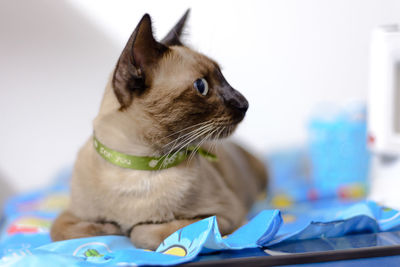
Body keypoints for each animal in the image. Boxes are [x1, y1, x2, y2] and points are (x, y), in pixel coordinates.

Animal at [50, 8, 268, 251]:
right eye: (201, 86)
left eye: (223, 77)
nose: (244, 103)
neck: (138, 167)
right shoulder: (70, 215)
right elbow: (67, 231)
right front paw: (110, 227)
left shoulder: (223, 215)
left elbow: (142, 232)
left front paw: (125, 228)